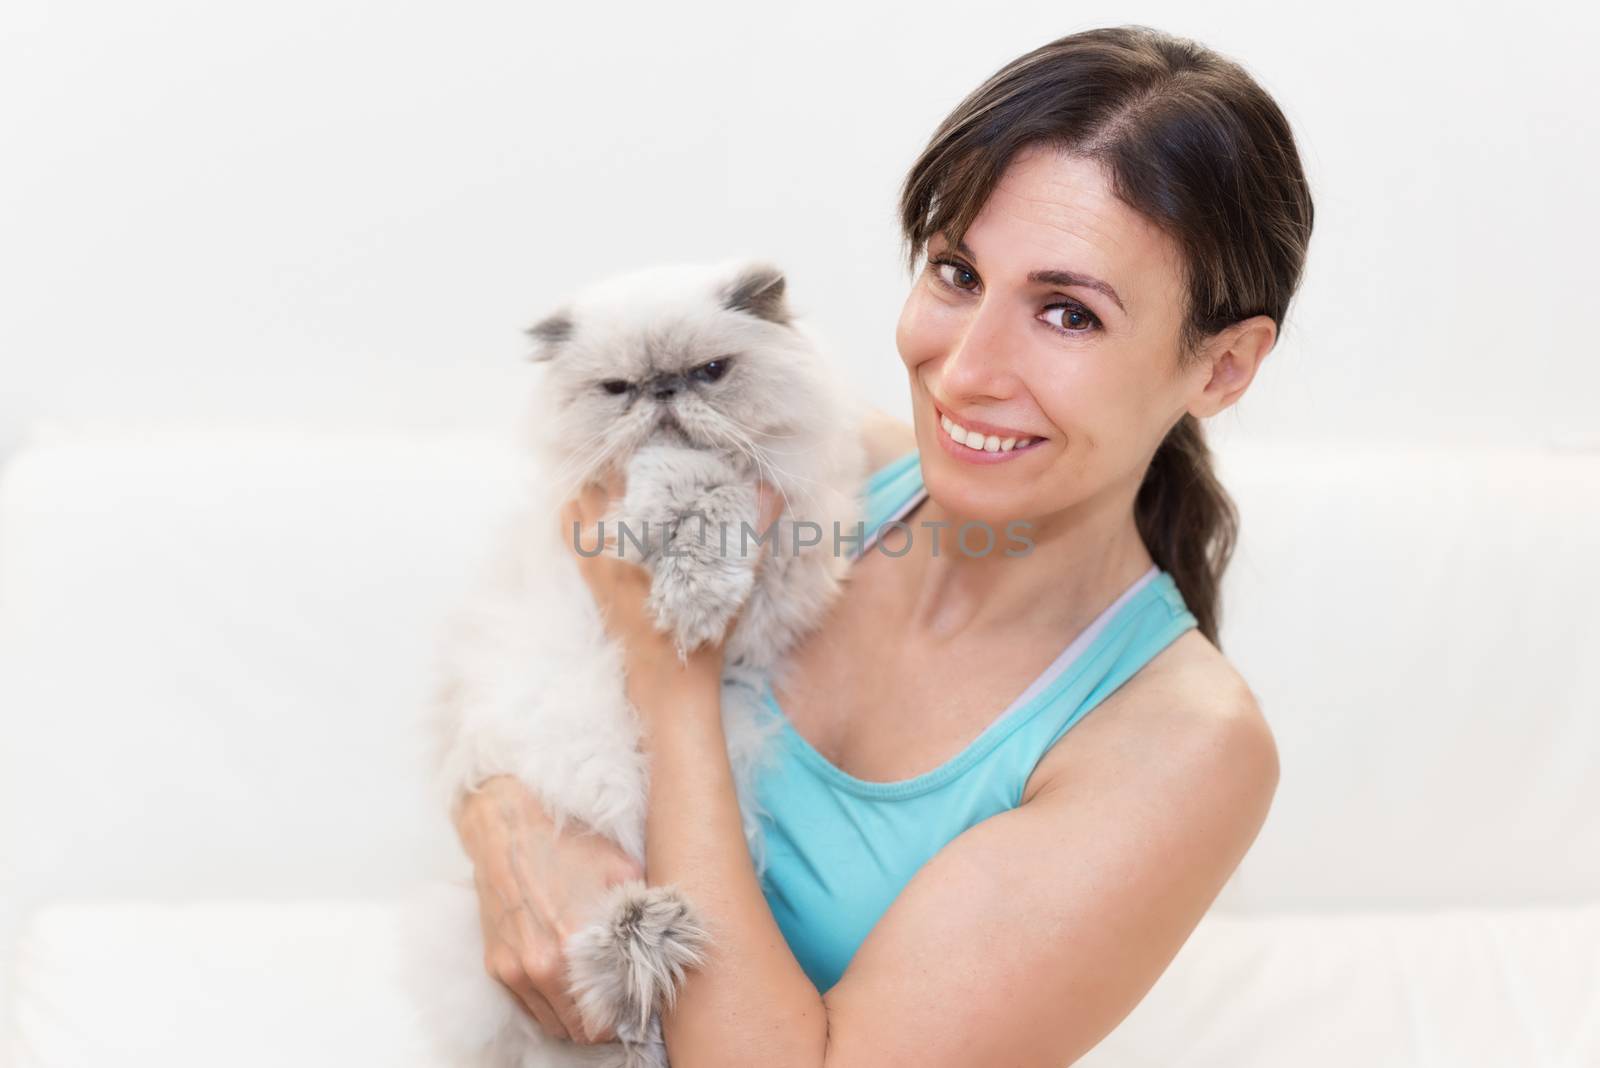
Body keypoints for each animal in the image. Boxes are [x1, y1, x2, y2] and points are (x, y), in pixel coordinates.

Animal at [406, 259, 870, 1068]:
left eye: (711, 372)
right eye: (619, 387)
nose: (662, 393)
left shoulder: (781, 587)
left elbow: (732, 512)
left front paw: (695, 597)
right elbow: (683, 477)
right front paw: (681, 566)